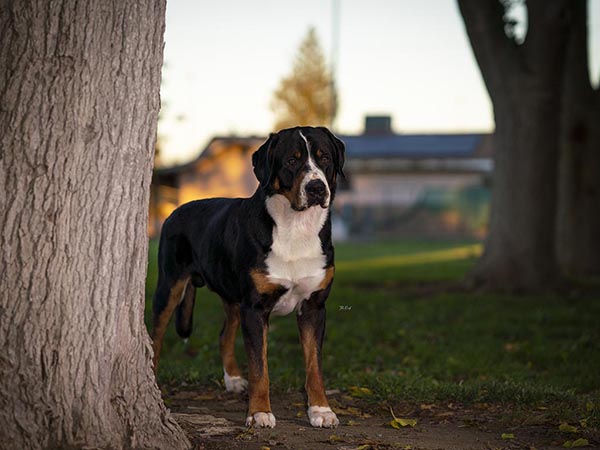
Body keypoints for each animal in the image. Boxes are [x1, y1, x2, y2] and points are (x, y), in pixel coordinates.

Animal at [152, 125, 344, 428]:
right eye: (291, 160)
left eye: (324, 158)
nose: (316, 188)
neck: (296, 229)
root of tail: (176, 209)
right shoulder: (254, 308)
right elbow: (259, 368)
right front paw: (259, 412)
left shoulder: (313, 306)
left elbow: (314, 365)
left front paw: (321, 410)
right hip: (169, 285)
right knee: (155, 336)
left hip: (232, 297)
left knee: (223, 335)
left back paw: (233, 380)